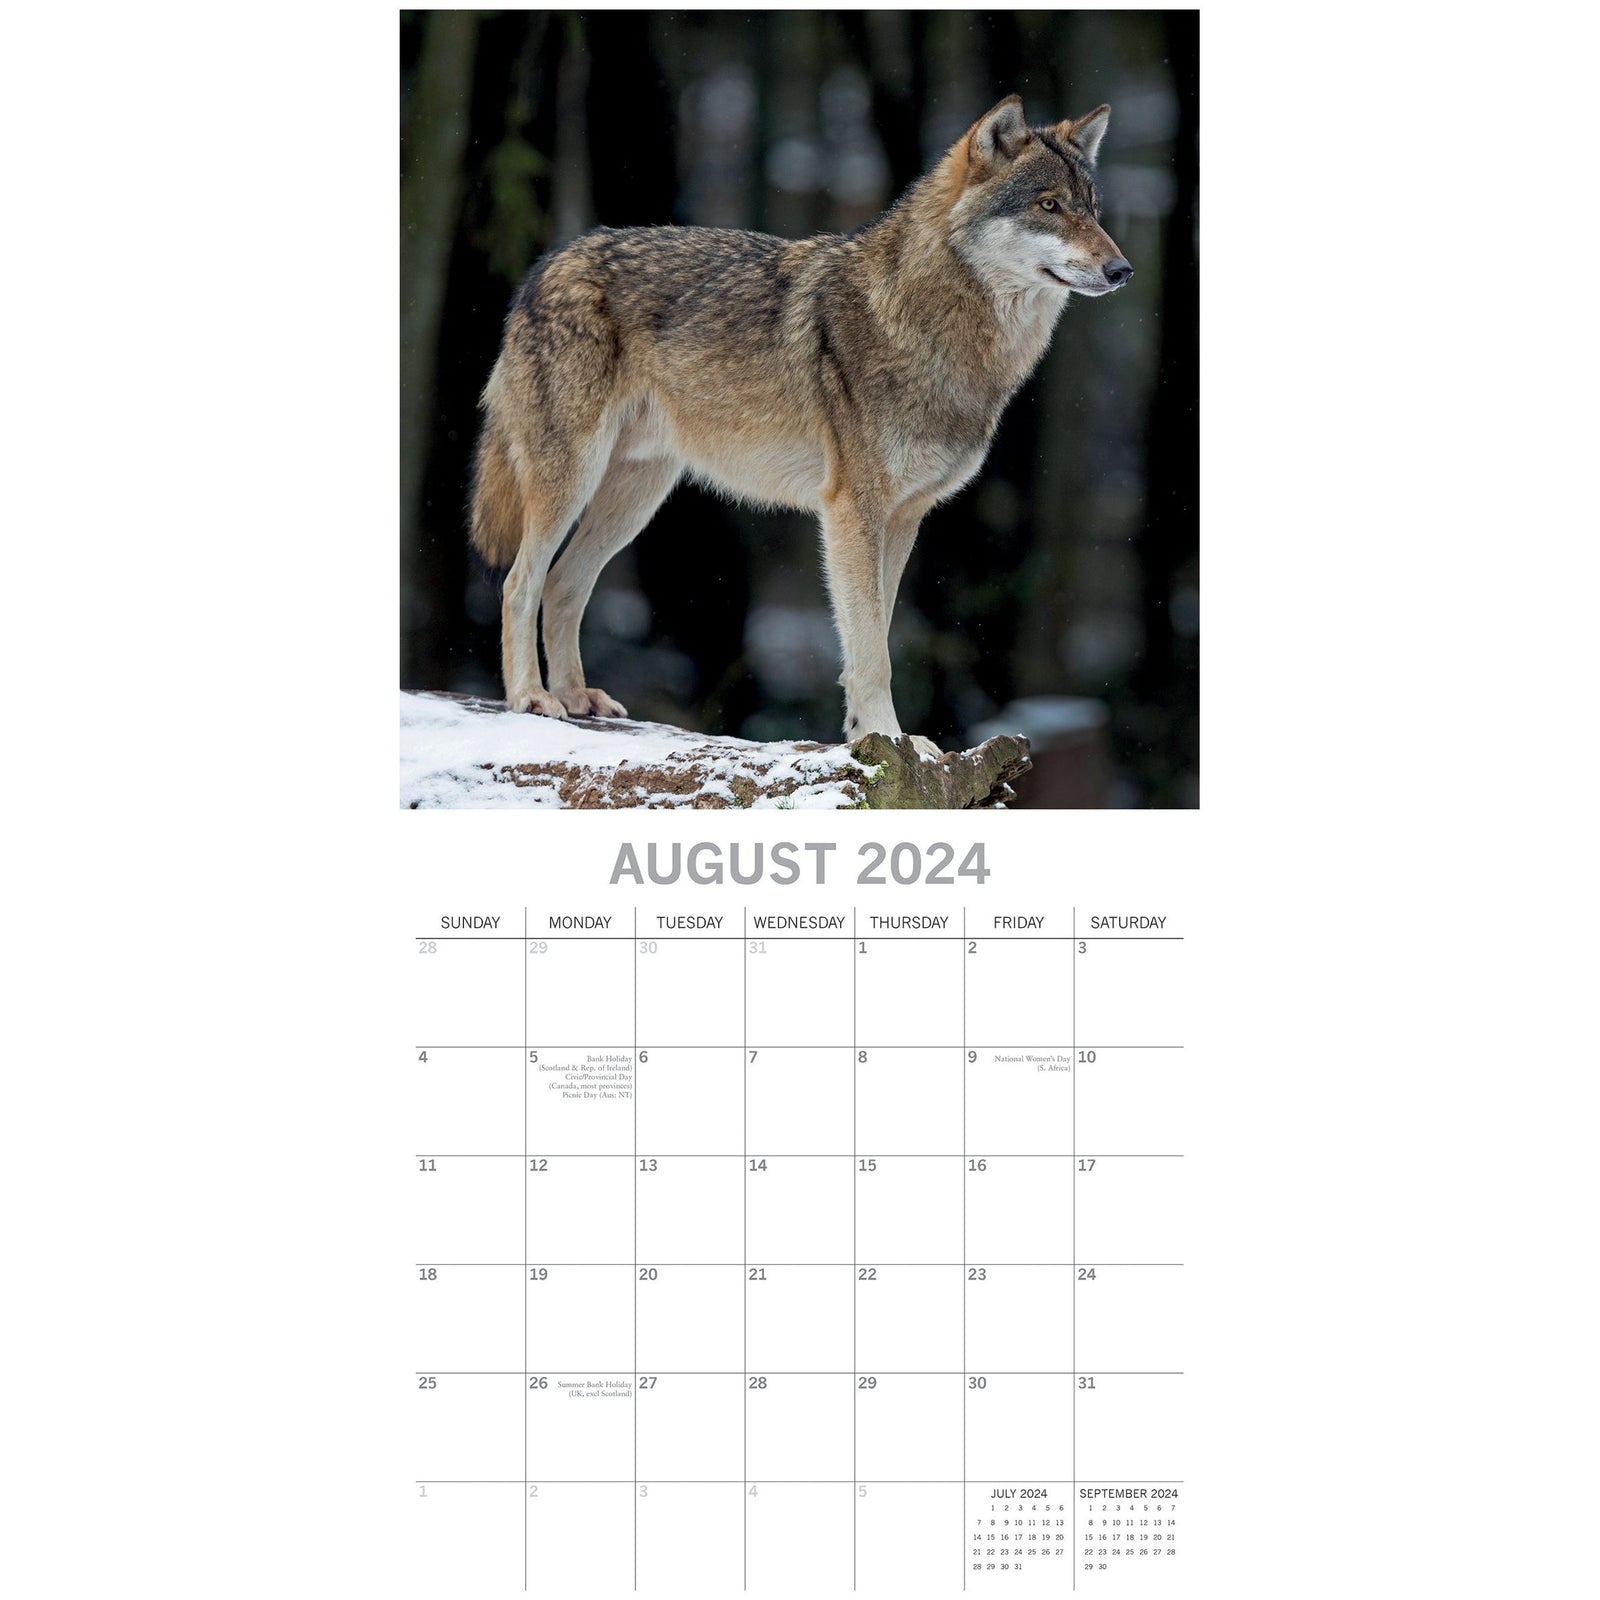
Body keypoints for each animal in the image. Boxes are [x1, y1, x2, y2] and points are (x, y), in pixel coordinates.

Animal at [469, 95, 1130, 755]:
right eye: (1049, 206)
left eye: (1092, 210)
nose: (1121, 269)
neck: (934, 325)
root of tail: (545, 267)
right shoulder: (852, 512)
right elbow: (872, 651)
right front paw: (887, 738)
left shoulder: (904, 518)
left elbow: (876, 635)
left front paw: (877, 740)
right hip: (572, 483)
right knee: (520, 583)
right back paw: (532, 697)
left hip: (636, 500)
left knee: (563, 584)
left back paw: (578, 696)